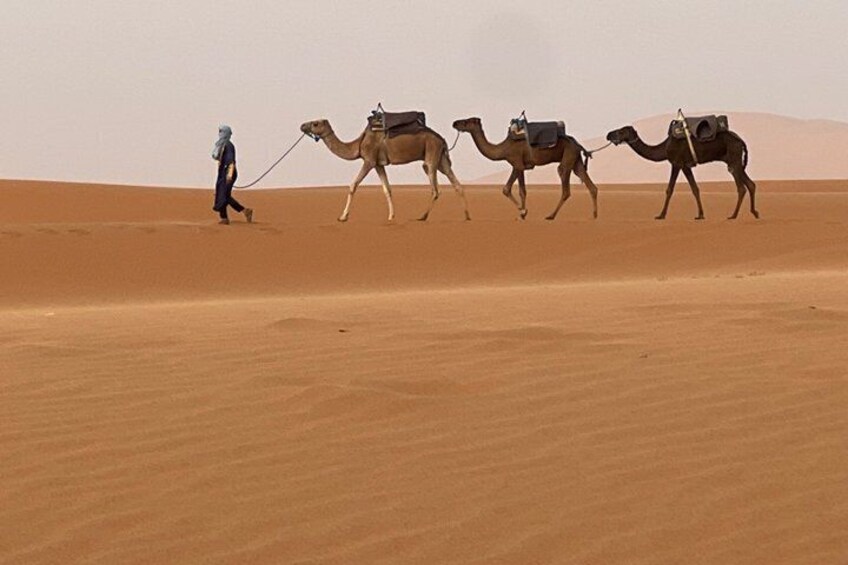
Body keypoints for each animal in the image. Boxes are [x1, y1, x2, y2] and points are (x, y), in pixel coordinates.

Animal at [299, 119, 470, 222]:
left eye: (315, 123)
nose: (302, 125)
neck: (358, 144)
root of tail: (442, 139)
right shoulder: (378, 164)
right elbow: (387, 189)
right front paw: (391, 216)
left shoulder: (369, 160)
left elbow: (353, 185)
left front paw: (343, 217)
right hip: (441, 159)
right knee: (456, 183)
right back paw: (467, 215)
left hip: (431, 153)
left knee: (435, 188)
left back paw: (423, 216)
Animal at [452, 117, 599, 220]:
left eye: (466, 121)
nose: (455, 123)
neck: (503, 148)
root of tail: (578, 144)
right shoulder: (515, 165)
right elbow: (508, 189)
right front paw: (522, 212)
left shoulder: (518, 163)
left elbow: (520, 190)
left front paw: (523, 212)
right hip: (576, 159)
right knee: (589, 183)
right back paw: (594, 215)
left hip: (568, 155)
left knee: (564, 184)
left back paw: (551, 215)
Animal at [605, 125, 758, 220]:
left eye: (621, 131)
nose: (608, 134)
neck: (664, 148)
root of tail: (740, 140)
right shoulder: (686, 166)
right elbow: (695, 188)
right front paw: (700, 215)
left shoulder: (677, 163)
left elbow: (670, 189)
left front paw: (661, 215)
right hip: (733, 160)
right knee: (750, 184)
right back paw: (754, 212)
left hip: (733, 158)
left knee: (741, 187)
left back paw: (733, 215)